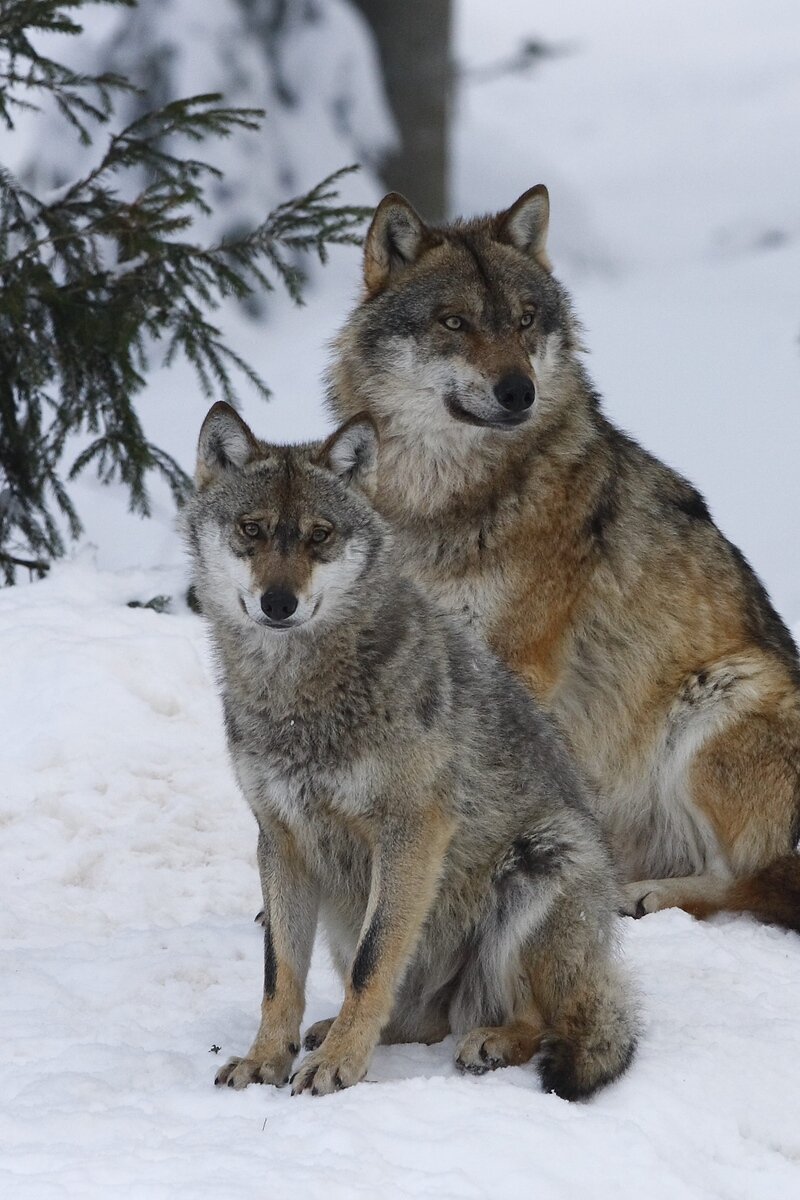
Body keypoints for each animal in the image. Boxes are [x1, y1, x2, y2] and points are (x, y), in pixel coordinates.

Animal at [183, 400, 638, 1099]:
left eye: (319, 535)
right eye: (252, 530)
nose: (278, 603)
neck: (299, 699)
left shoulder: (412, 830)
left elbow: (374, 963)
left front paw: (338, 1067)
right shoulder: (280, 838)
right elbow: (279, 975)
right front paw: (267, 1059)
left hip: (543, 859)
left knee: (539, 1021)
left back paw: (489, 1042)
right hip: (345, 913)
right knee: (419, 1020)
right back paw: (337, 1032)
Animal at [328, 184, 800, 926]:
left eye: (525, 321)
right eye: (455, 322)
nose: (518, 390)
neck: (442, 501)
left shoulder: (521, 662)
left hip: (720, 697)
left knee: (754, 882)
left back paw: (645, 895)